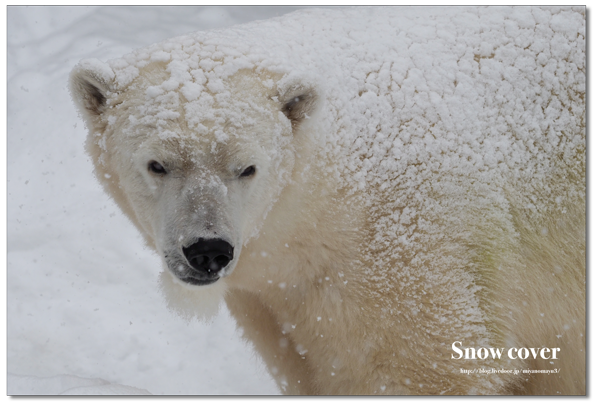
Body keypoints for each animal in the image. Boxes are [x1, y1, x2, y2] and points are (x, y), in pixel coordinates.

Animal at [68, 4, 584, 394]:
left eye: (247, 168)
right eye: (157, 164)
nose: (207, 251)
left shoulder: (412, 252)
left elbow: (427, 366)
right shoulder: (274, 304)